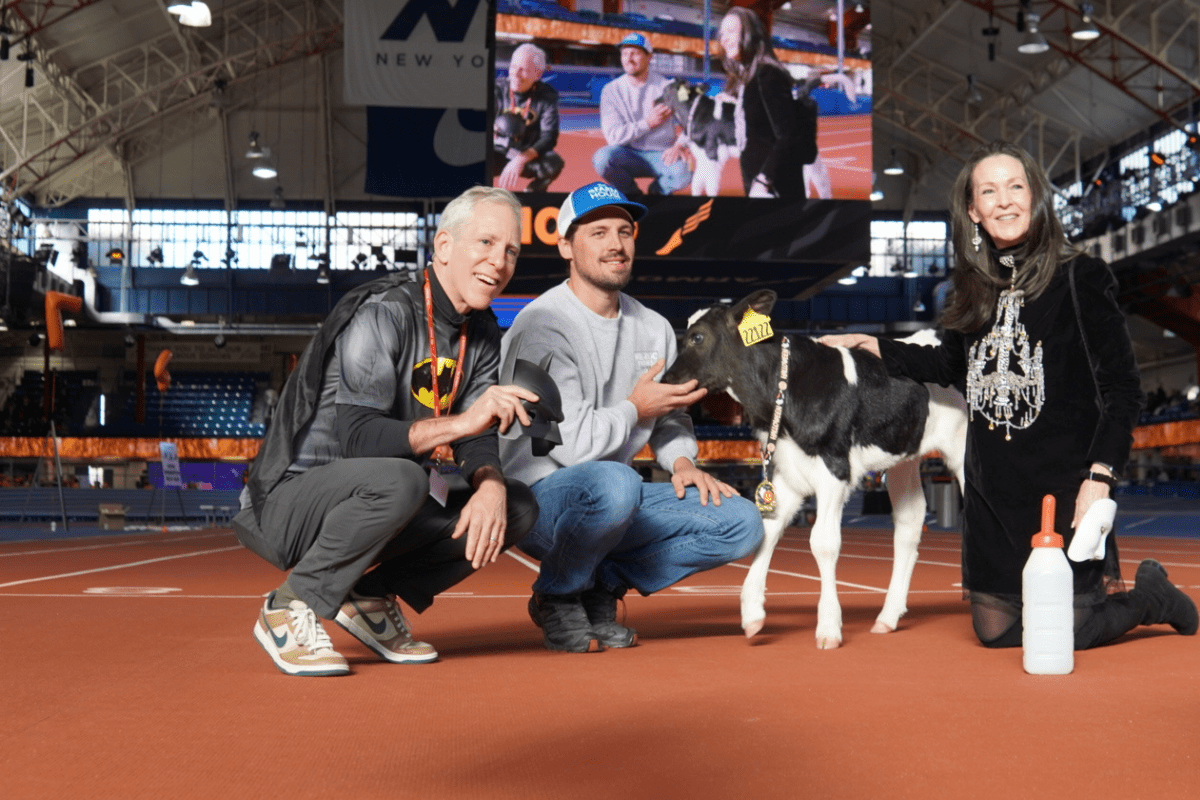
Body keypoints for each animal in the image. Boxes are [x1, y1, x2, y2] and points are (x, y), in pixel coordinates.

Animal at [662, 291, 969, 647]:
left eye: (697, 337)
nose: (665, 380)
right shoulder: (788, 473)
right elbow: (767, 532)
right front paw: (752, 614)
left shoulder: (834, 469)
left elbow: (823, 542)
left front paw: (828, 628)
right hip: (904, 456)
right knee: (910, 520)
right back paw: (888, 617)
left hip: (962, 449)